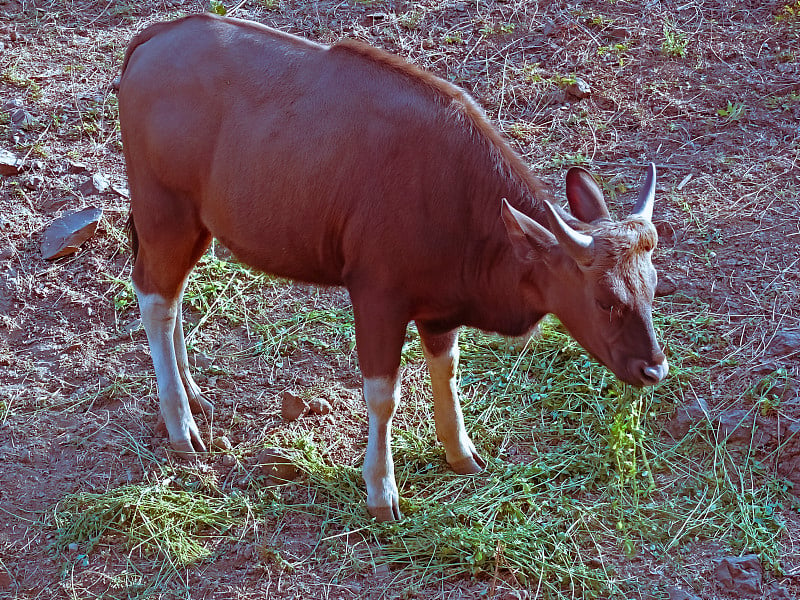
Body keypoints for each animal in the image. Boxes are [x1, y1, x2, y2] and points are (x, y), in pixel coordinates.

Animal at [117, 12, 668, 520]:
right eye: (605, 300)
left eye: (652, 288)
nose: (655, 368)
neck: (457, 198)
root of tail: (156, 36)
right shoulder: (377, 297)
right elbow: (383, 395)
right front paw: (381, 491)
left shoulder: (438, 310)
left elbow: (447, 371)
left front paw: (461, 453)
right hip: (165, 214)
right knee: (153, 297)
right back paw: (182, 425)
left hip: (197, 224)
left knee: (172, 295)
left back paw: (193, 395)